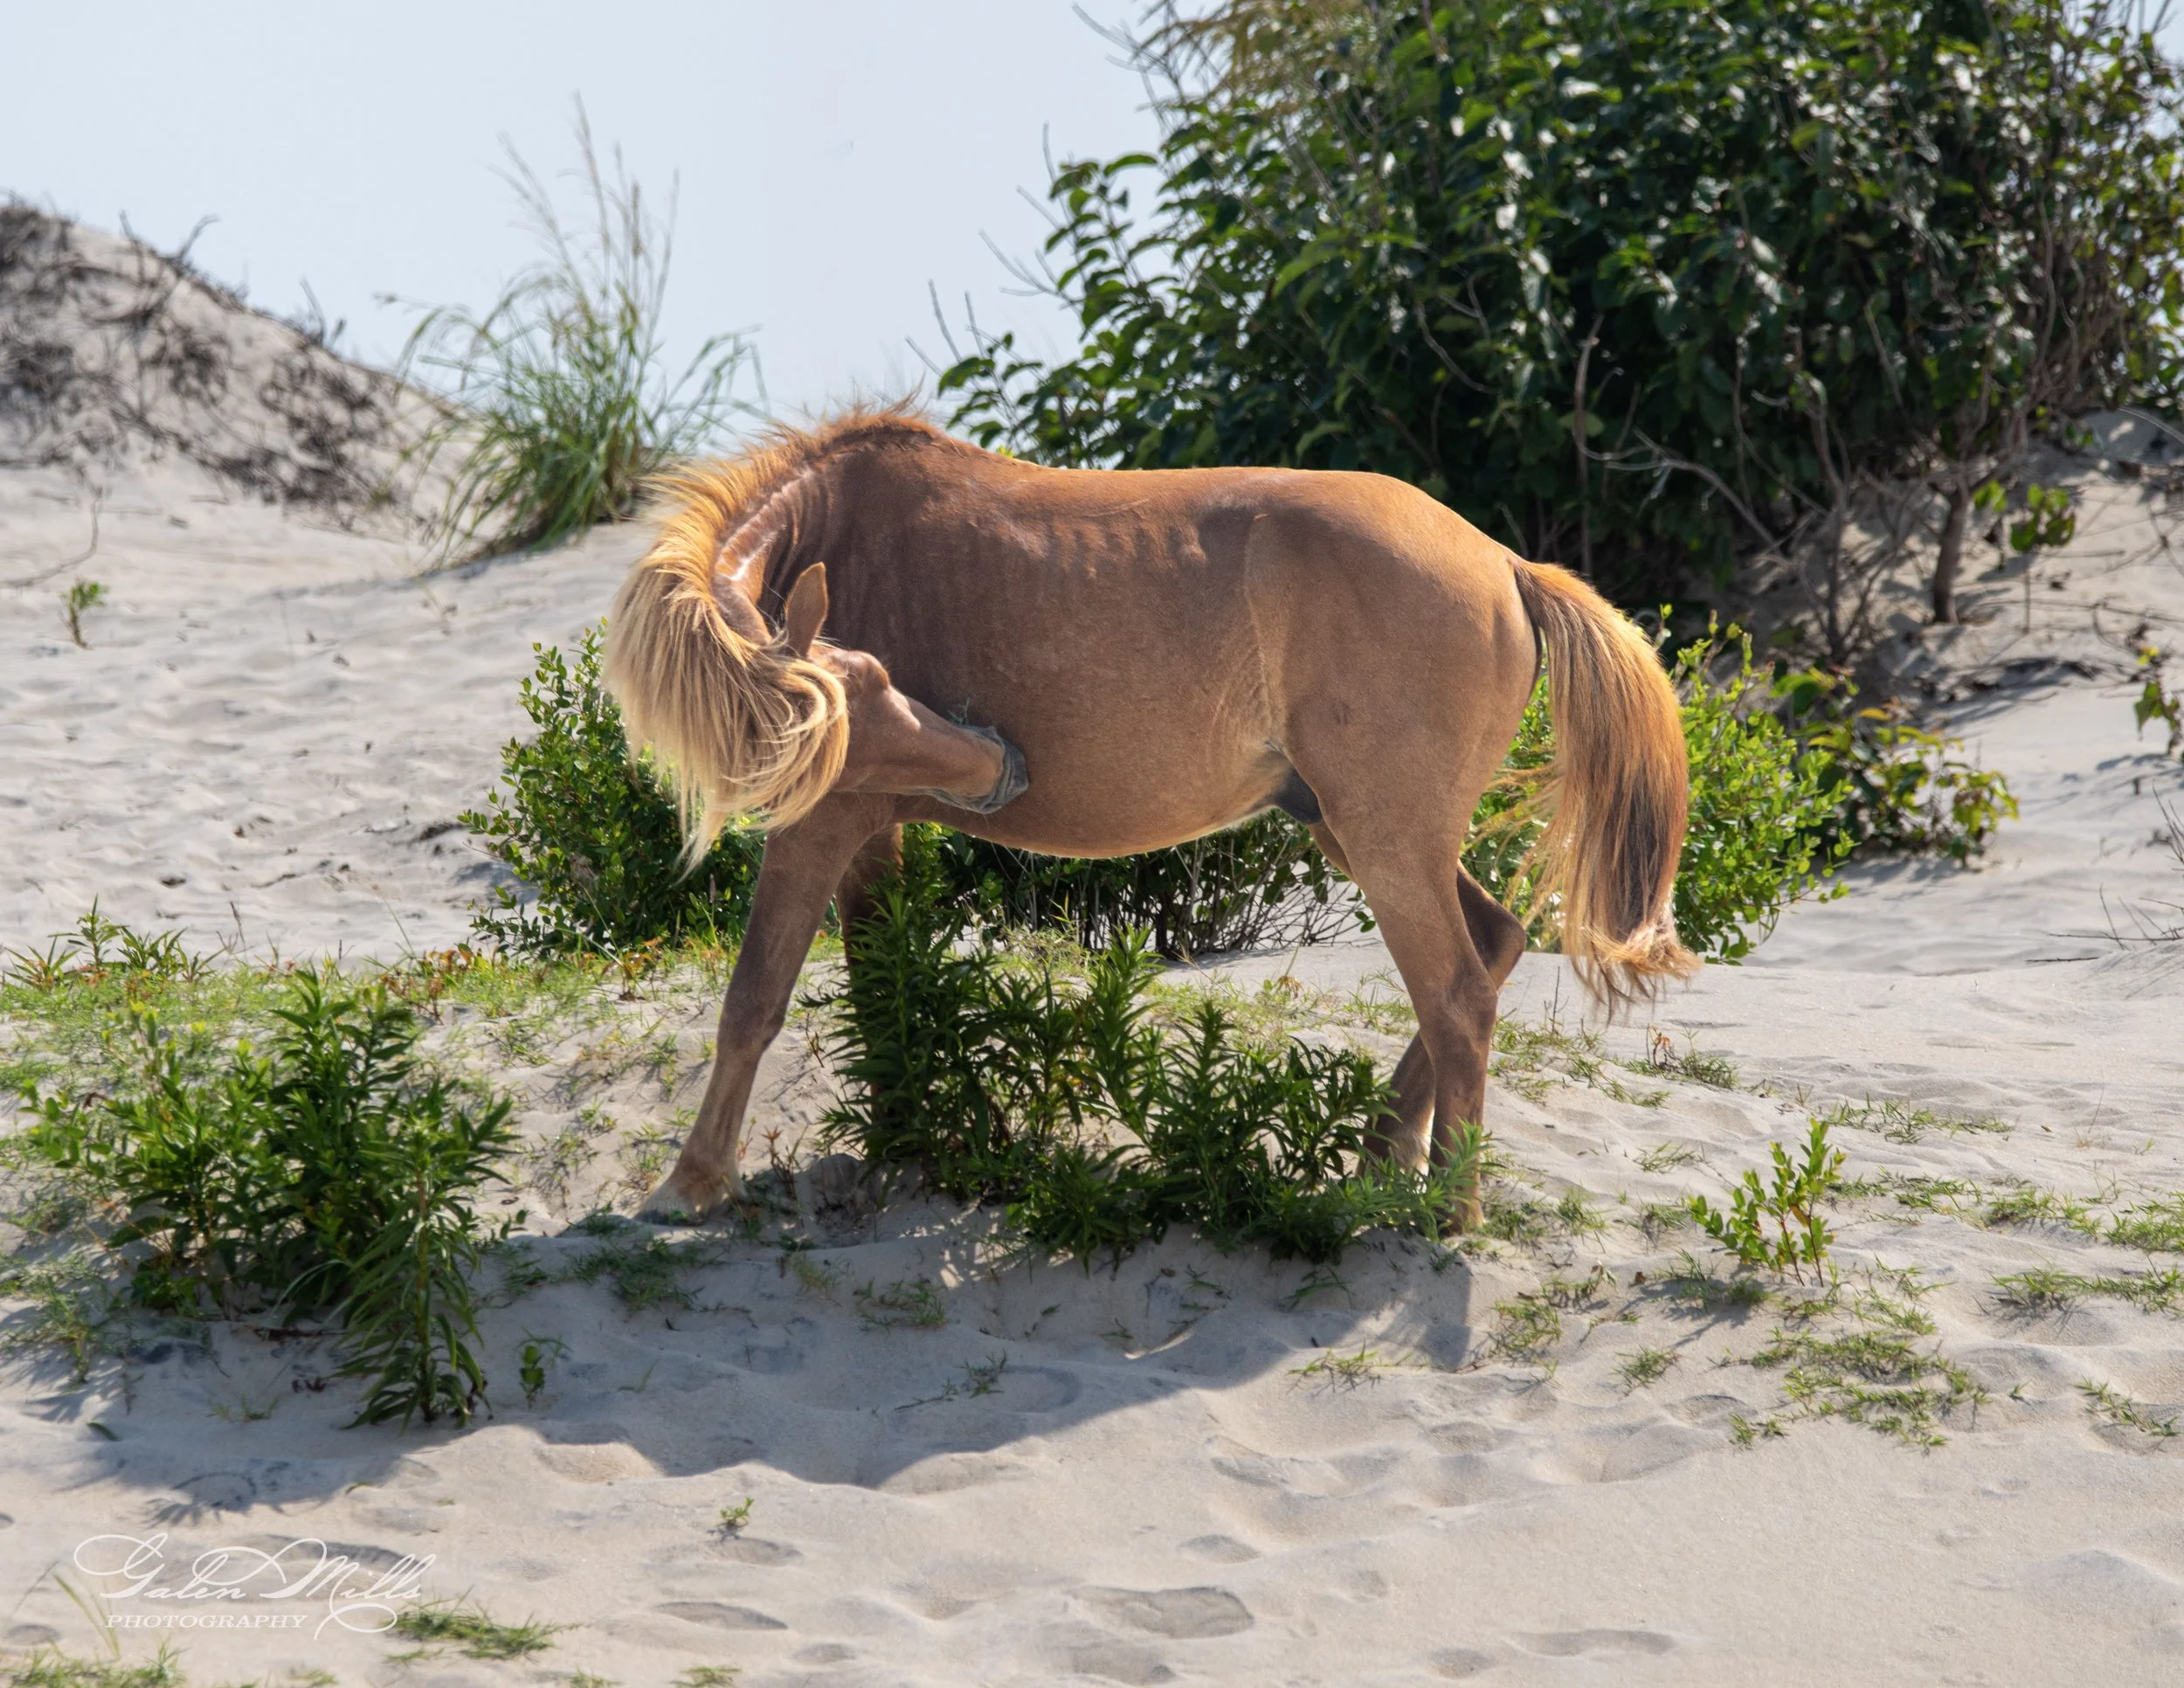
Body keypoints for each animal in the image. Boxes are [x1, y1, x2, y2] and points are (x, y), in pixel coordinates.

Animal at [603, 408, 1695, 1229]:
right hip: (1356, 832)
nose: (999, 766)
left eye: (873, 683)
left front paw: (690, 1183)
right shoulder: (868, 833)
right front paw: (903, 1148)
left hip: (1386, 841)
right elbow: (882, 995)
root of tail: (1504, 563)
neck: (841, 524)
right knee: (1494, 945)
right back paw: (1382, 1159)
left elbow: (753, 1000)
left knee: (1459, 997)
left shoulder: (820, 827)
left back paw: (1444, 1214)